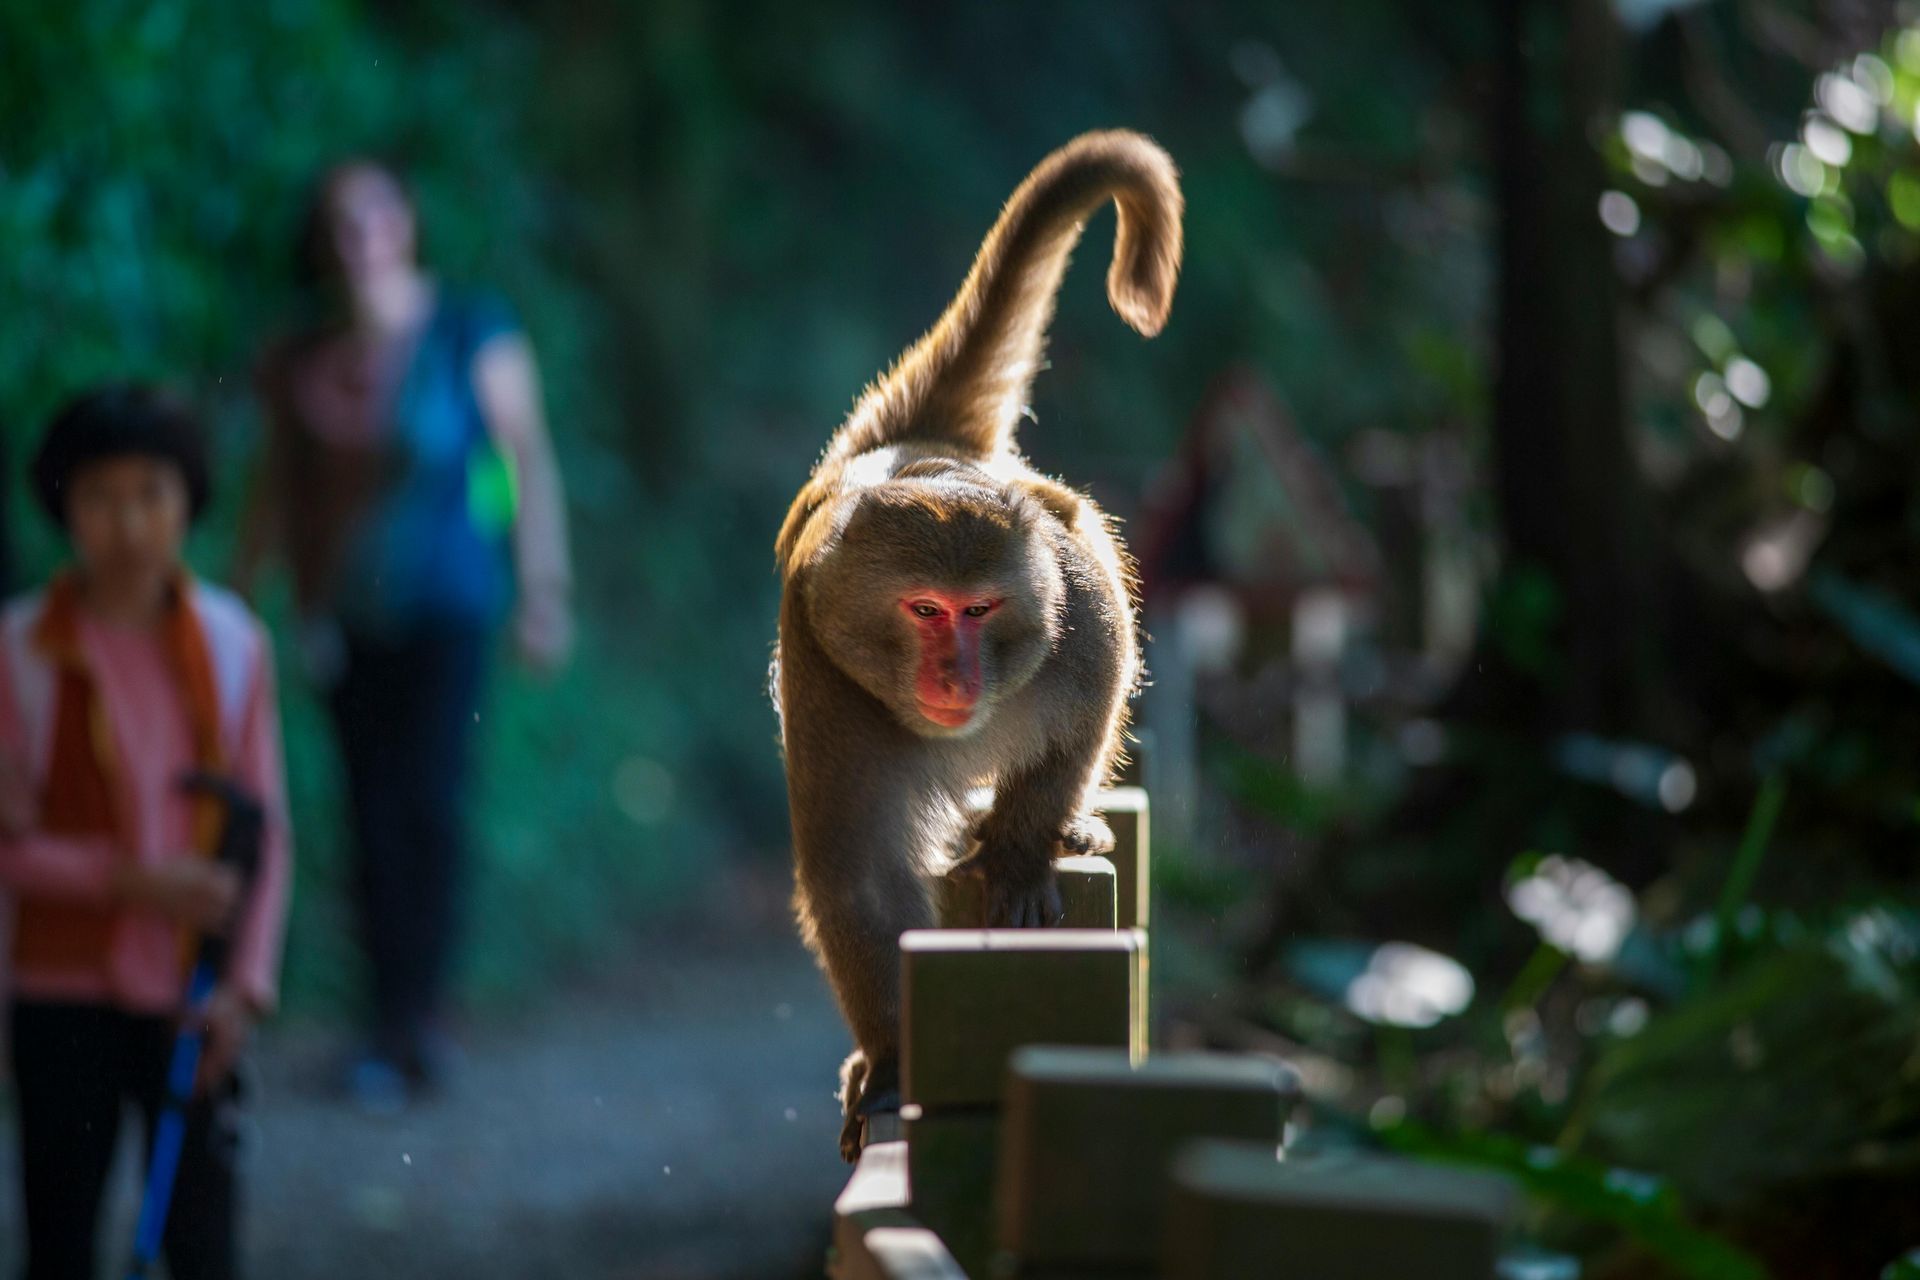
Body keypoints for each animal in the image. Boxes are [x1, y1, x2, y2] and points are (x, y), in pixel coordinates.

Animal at [770, 130, 1183, 1160]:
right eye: (925, 612)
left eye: (981, 610)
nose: (954, 671)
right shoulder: (825, 676)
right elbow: (858, 875)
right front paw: (892, 1058)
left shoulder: (1073, 617)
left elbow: (1096, 690)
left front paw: (1028, 848)